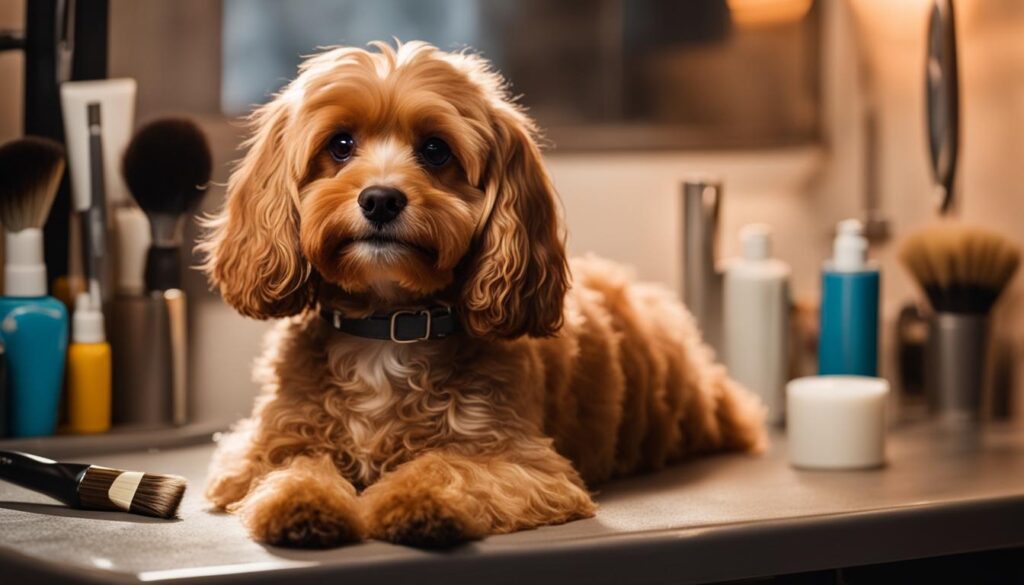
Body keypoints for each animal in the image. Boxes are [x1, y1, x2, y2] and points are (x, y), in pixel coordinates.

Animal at [199, 39, 765, 549]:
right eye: (339, 145)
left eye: (435, 150)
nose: (380, 199)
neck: (388, 328)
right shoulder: (256, 450)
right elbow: (295, 465)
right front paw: (301, 504)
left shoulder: (525, 464)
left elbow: (446, 467)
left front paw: (418, 504)